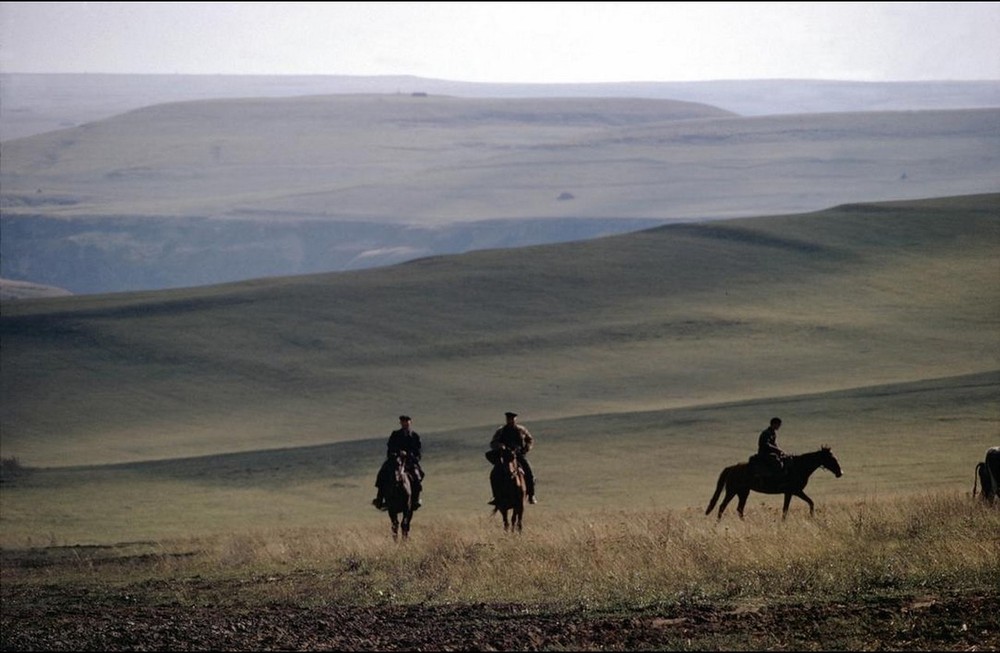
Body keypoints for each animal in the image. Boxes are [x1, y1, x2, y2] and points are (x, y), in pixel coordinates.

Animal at [704, 444, 844, 520]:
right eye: (831, 458)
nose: (840, 473)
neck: (799, 467)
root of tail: (731, 468)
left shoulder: (793, 492)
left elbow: (808, 503)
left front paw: (811, 517)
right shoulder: (793, 491)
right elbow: (788, 509)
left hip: (743, 492)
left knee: (739, 509)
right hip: (732, 491)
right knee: (722, 507)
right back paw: (717, 525)